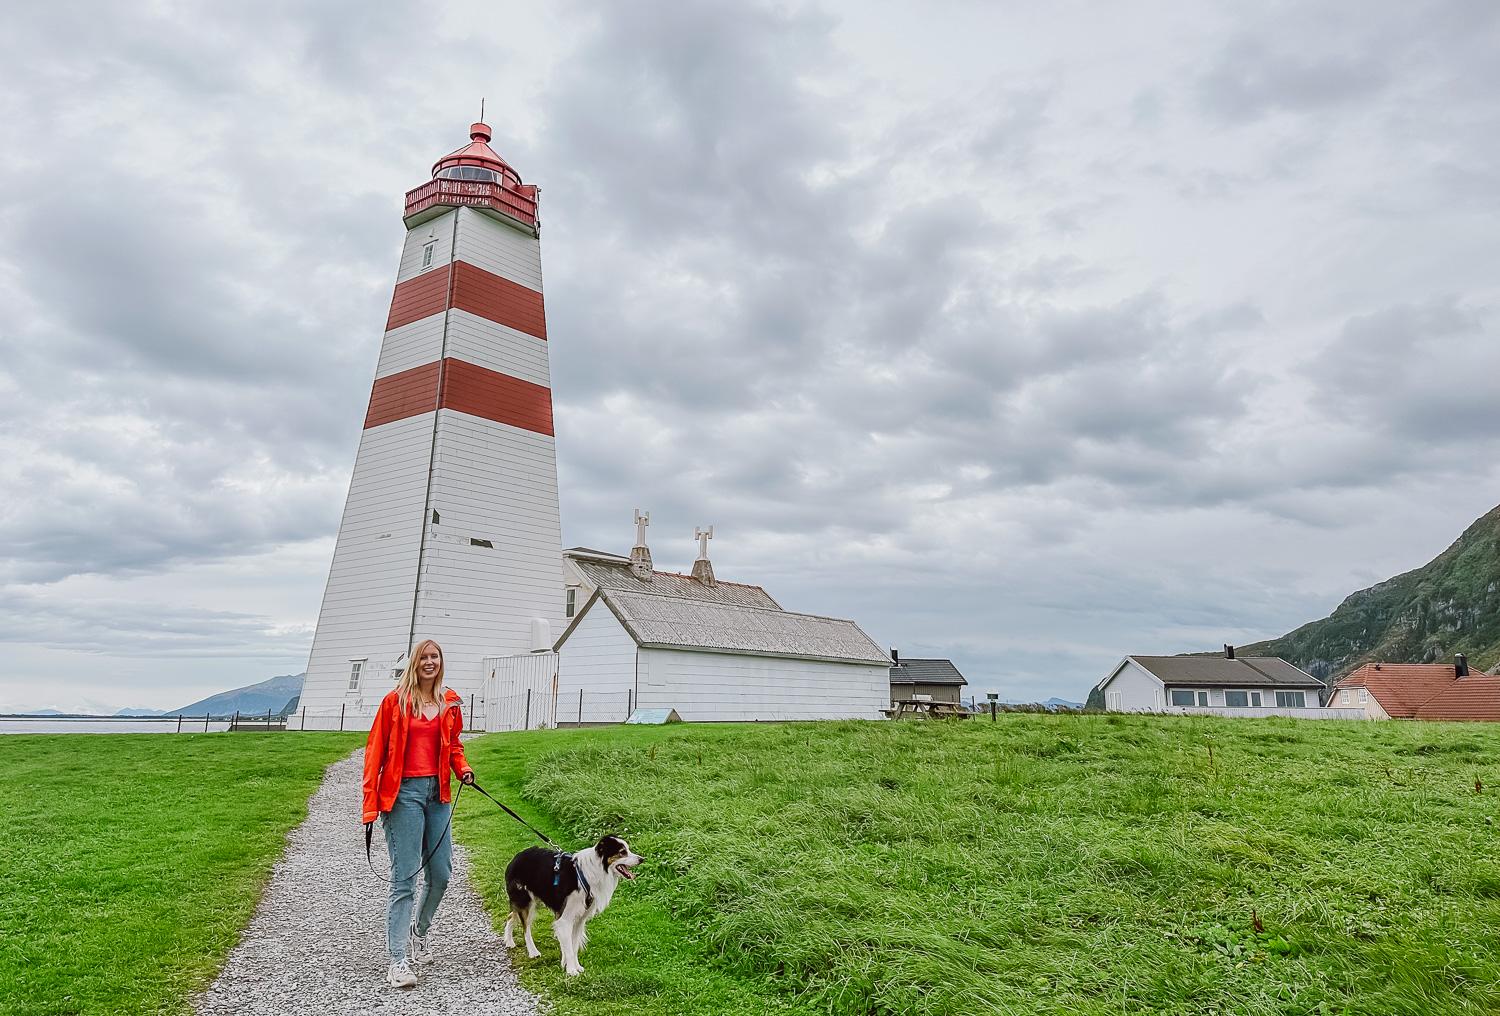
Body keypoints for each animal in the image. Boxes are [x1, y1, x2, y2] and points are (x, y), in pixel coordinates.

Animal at [504, 834, 639, 972]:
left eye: (628, 849)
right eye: (622, 852)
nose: (642, 859)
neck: (589, 875)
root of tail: (516, 857)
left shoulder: (579, 919)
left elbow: (573, 946)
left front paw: (574, 966)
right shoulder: (565, 918)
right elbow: (568, 947)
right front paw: (571, 971)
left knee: (511, 916)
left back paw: (509, 941)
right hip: (525, 901)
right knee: (525, 928)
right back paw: (533, 952)